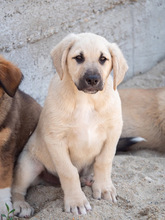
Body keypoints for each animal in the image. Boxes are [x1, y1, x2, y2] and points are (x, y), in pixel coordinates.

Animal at [12, 32, 128, 217]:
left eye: (103, 59)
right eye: (78, 58)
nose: (92, 79)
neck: (86, 100)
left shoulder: (113, 131)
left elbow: (104, 161)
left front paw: (104, 188)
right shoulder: (55, 138)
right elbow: (69, 172)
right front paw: (76, 201)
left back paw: (89, 179)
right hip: (28, 165)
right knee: (17, 189)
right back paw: (21, 205)